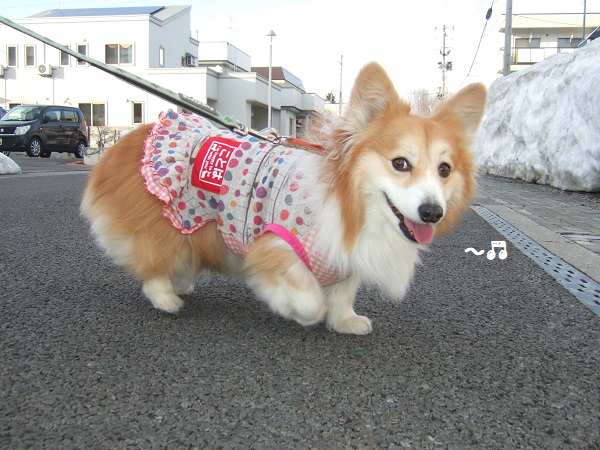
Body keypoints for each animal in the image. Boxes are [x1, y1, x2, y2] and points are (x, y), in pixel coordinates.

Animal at [81, 62, 486, 334]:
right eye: (400, 163)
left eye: (445, 170)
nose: (432, 212)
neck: (353, 206)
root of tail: (127, 141)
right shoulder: (276, 247)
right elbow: (311, 301)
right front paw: (294, 309)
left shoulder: (345, 258)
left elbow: (342, 294)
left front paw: (346, 322)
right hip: (168, 222)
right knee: (153, 263)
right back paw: (167, 298)